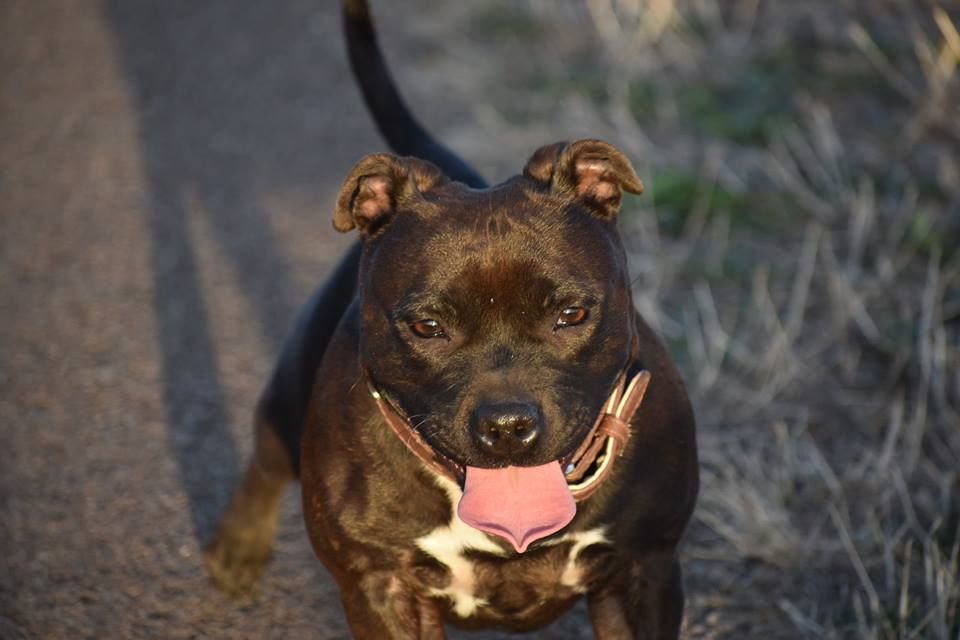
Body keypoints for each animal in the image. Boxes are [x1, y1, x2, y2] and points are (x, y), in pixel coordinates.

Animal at [206, 2, 696, 636]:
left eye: (571, 314)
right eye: (427, 327)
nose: (508, 425)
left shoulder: (644, 571)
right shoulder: (380, 587)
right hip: (294, 386)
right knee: (267, 451)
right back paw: (238, 546)